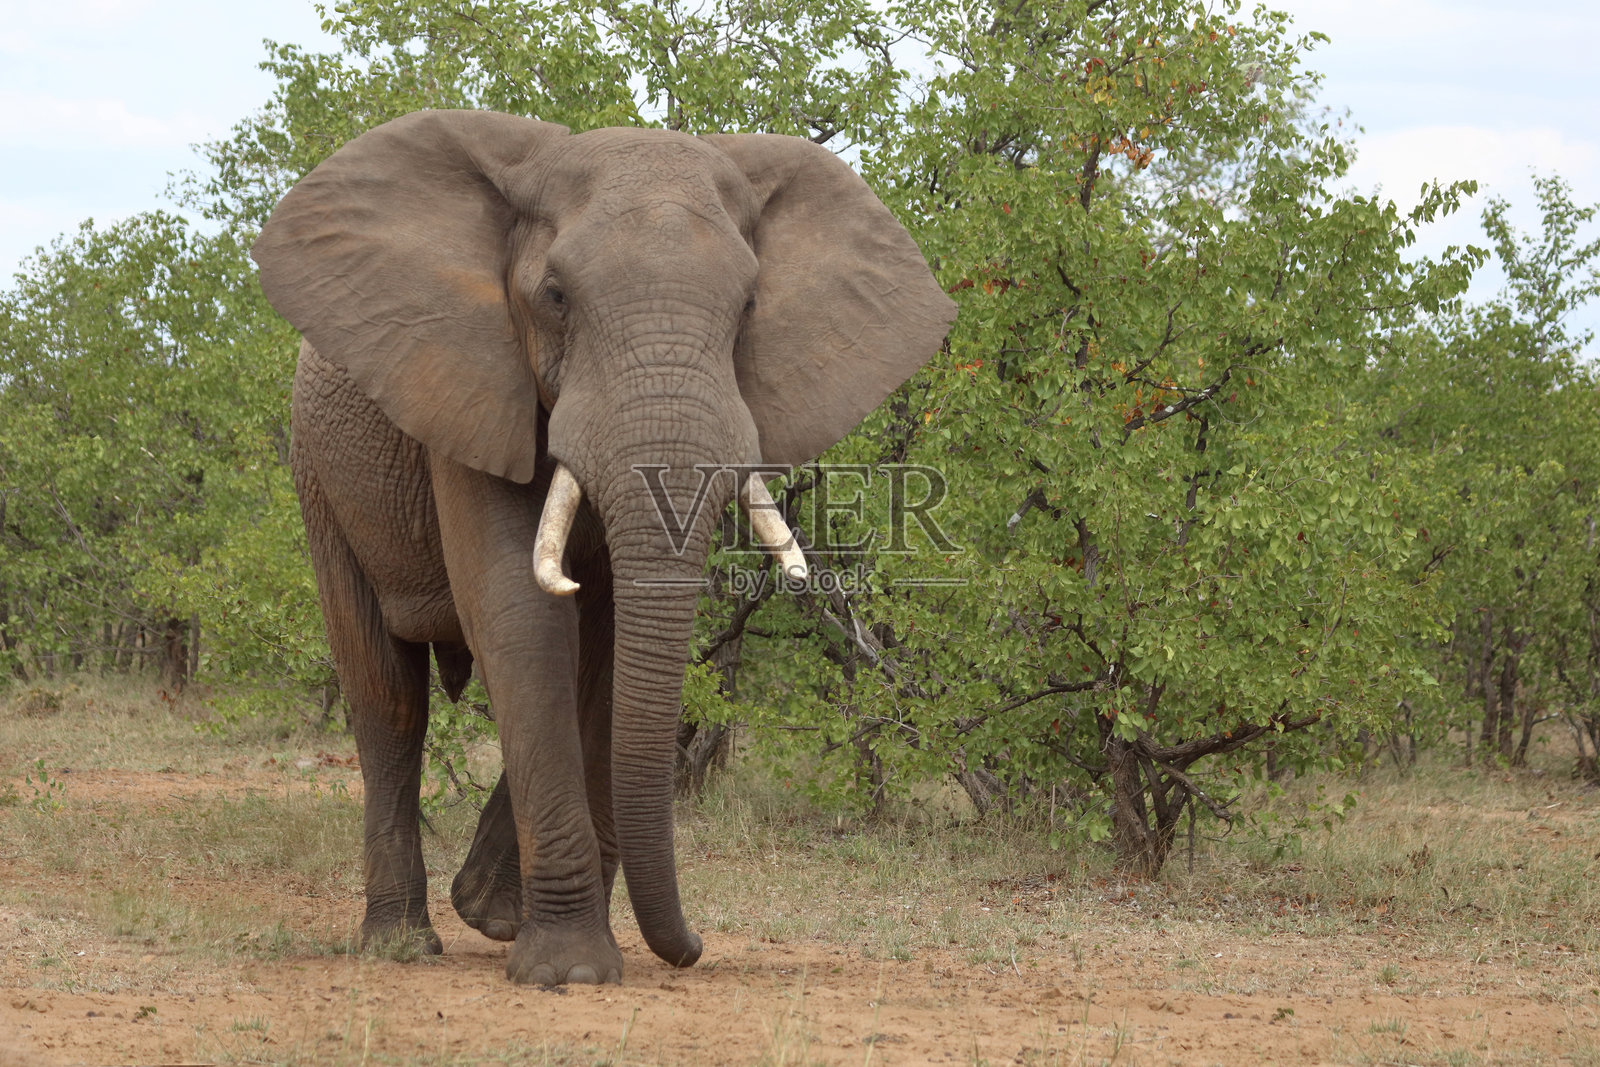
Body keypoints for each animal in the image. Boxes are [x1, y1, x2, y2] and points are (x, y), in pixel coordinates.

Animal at [251, 109, 955, 985]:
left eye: (749, 305)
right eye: (555, 298)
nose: (693, 948)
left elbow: (614, 645)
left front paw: (532, 934)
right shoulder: (472, 383)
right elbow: (520, 615)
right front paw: (569, 971)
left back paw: (486, 910)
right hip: (319, 473)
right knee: (387, 696)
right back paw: (401, 942)